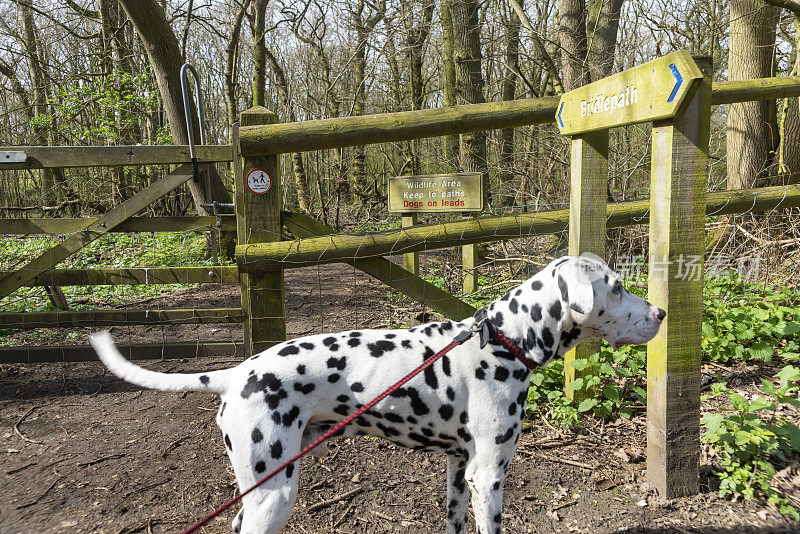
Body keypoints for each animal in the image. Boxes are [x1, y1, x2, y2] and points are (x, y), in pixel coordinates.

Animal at [90, 258, 664, 532]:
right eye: (616, 286)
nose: (659, 313)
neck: (503, 340)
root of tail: (238, 373)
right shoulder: (489, 476)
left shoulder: (460, 471)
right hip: (274, 495)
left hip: (259, 495)